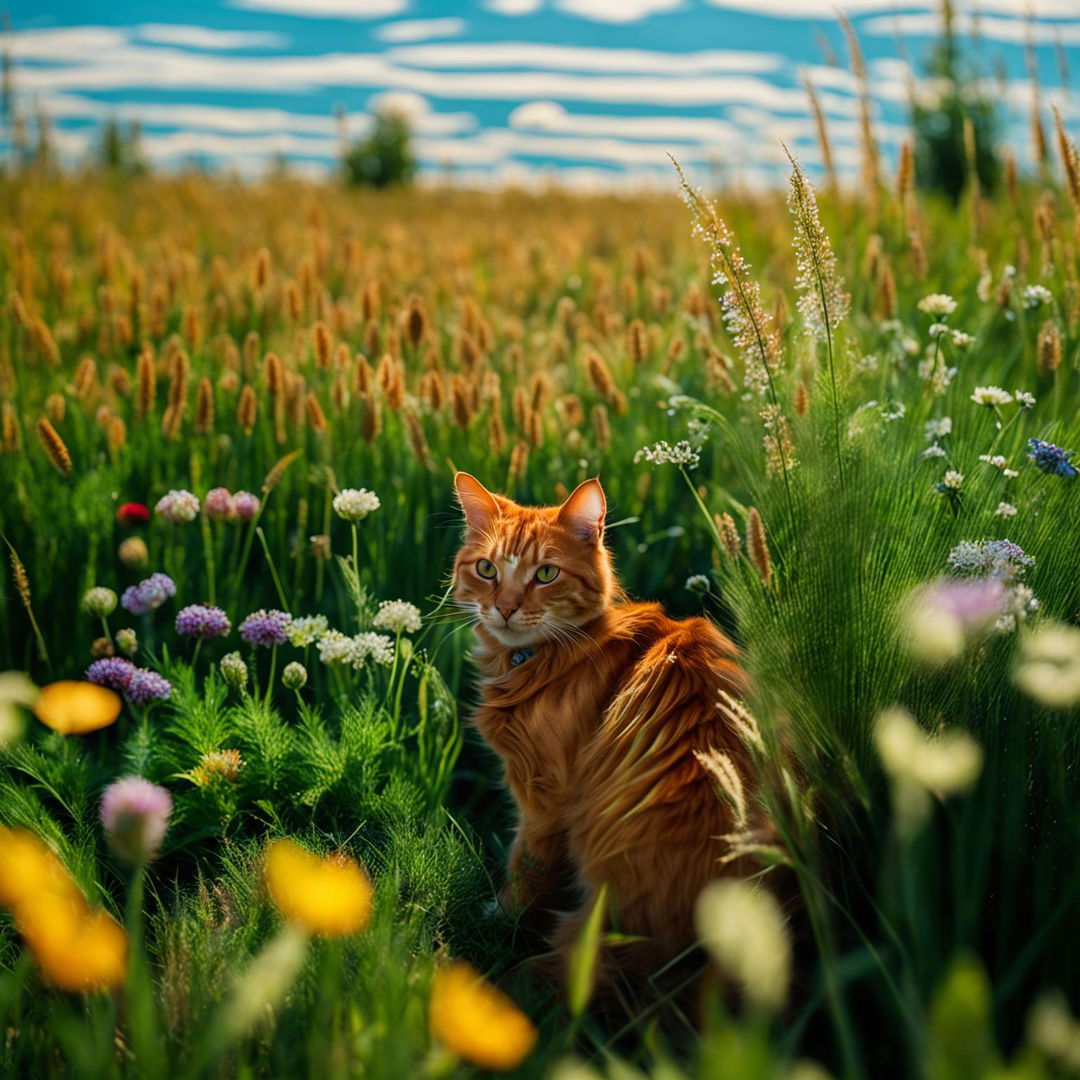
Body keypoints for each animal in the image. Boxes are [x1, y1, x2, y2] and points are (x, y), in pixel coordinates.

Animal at [451, 477, 773, 984]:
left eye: (546, 574)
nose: (503, 608)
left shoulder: (544, 802)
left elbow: (524, 872)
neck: (547, 658)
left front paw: (495, 920)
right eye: (486, 569)